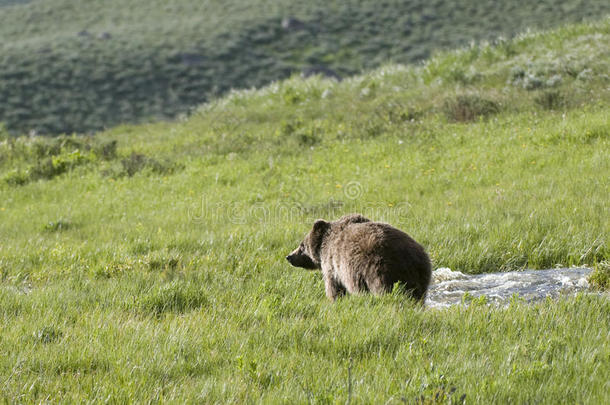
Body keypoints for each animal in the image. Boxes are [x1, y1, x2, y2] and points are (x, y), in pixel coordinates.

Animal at [288, 213, 430, 302]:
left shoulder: (333, 265)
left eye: (301, 246)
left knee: (383, 289)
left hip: (377, 268)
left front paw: (334, 300)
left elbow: (334, 287)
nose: (289, 256)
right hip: (421, 273)